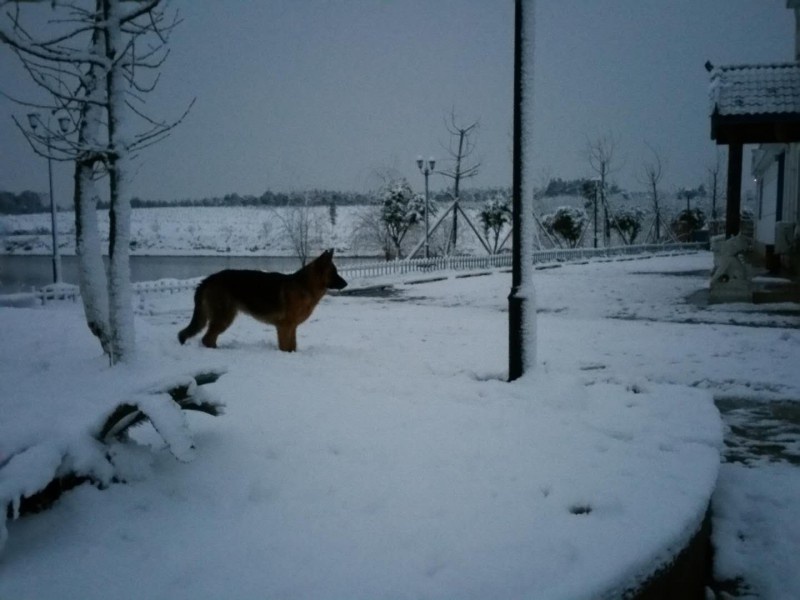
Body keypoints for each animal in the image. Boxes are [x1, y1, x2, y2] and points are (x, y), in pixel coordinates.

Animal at [178, 250, 346, 352]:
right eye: (334, 273)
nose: (346, 284)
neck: (305, 285)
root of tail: (208, 279)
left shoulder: (291, 327)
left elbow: (292, 346)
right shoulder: (284, 327)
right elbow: (285, 347)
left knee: (209, 338)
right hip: (224, 318)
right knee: (207, 339)